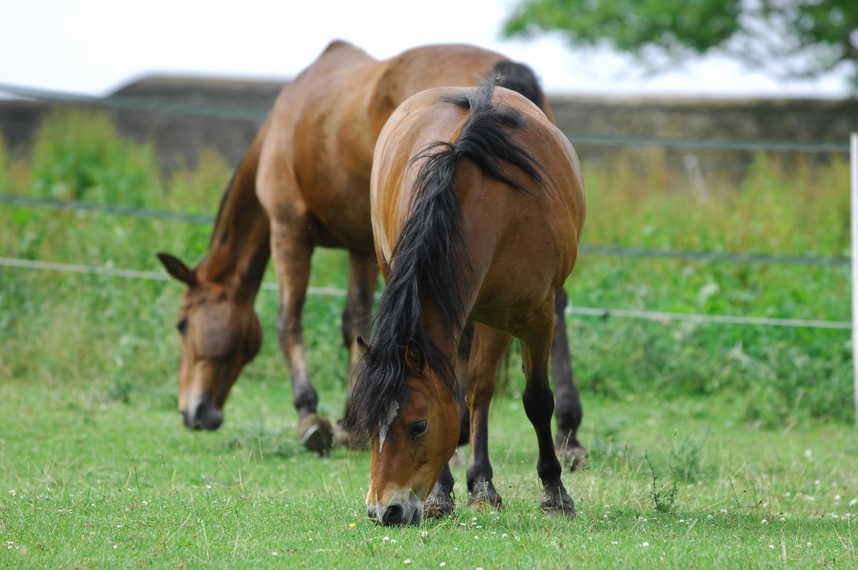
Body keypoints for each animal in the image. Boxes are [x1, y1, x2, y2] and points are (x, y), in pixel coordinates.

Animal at [155, 38, 580, 458]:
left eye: (182, 324)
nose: (192, 412)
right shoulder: (360, 245)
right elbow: (355, 323)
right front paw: (353, 423)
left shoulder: (288, 228)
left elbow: (288, 321)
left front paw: (310, 416)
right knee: (554, 308)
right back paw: (568, 432)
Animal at [344, 80, 584, 524]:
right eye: (369, 425)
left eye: (418, 426)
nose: (384, 510)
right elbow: (455, 400)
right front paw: (441, 494)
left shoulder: (534, 316)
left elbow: (537, 401)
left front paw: (555, 492)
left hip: (492, 317)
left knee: (481, 389)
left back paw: (483, 484)